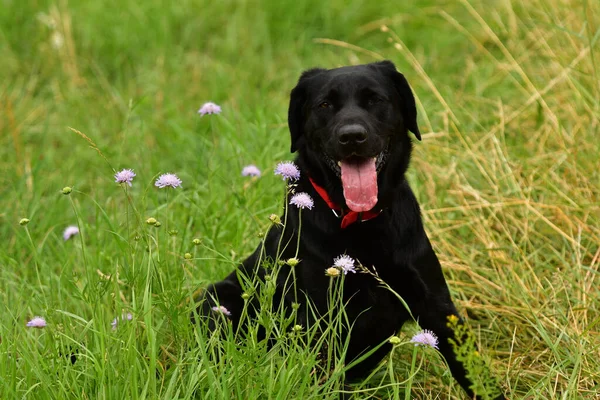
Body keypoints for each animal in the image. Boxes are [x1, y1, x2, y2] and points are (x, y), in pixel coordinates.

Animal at [197, 60, 506, 400]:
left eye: (375, 100)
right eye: (324, 105)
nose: (352, 136)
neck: (361, 224)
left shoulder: (437, 306)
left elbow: (475, 373)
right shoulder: (319, 320)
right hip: (218, 299)